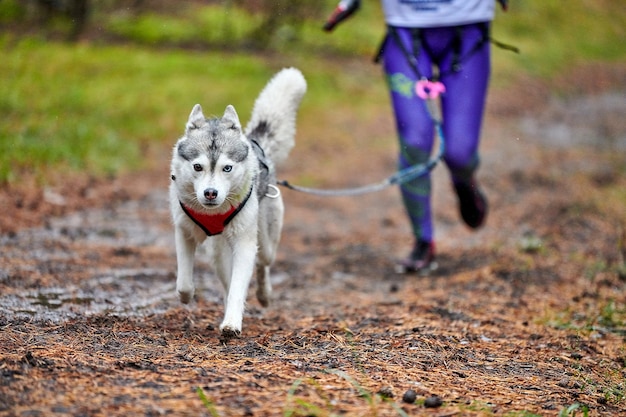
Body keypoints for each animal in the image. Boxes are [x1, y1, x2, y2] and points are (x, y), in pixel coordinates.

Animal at [169, 66, 306, 336]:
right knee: (225, 279)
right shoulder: (183, 232)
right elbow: (184, 283)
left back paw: (264, 294)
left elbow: (239, 286)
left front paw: (232, 323)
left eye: (227, 168)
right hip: (218, 253)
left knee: (263, 264)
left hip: (266, 240)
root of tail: (256, 144)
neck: (212, 214)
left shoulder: (244, 244)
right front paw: (188, 296)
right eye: (198, 167)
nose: (210, 193)